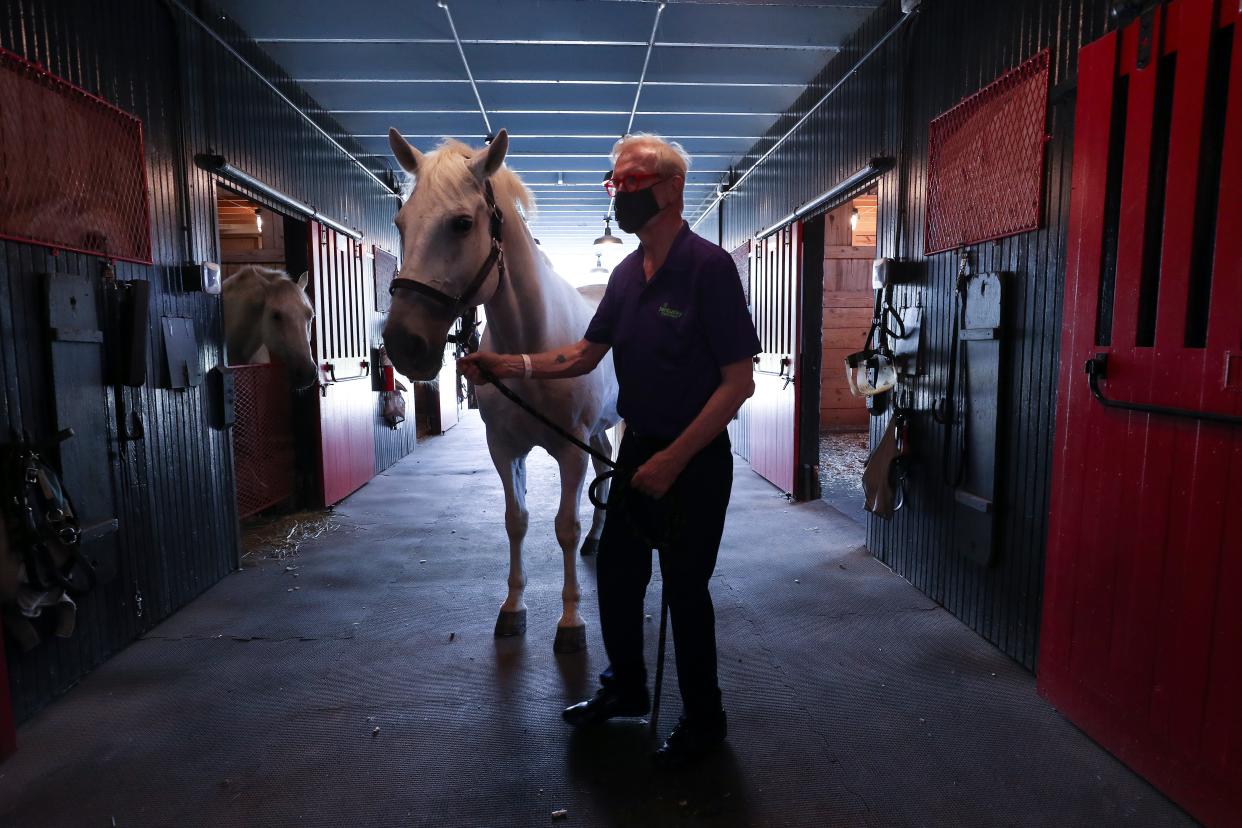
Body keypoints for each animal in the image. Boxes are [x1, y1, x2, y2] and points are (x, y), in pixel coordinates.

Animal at [382, 127, 621, 655]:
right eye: (400, 223)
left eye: (462, 224)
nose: (404, 345)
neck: (532, 344)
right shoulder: (504, 447)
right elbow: (518, 521)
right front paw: (513, 609)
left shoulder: (568, 452)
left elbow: (564, 527)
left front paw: (571, 621)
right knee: (605, 467)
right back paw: (599, 539)